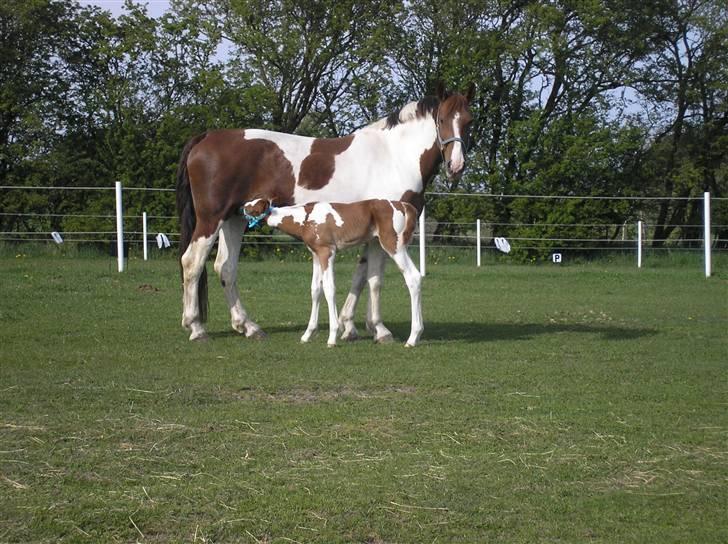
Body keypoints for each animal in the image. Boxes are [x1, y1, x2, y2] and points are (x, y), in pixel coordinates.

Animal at [242, 198, 424, 346]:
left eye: (254, 207)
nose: (242, 207)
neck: (305, 219)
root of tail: (405, 206)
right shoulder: (316, 255)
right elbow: (315, 290)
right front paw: (307, 335)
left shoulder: (327, 252)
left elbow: (329, 289)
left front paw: (332, 337)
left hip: (394, 246)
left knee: (413, 277)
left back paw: (412, 338)